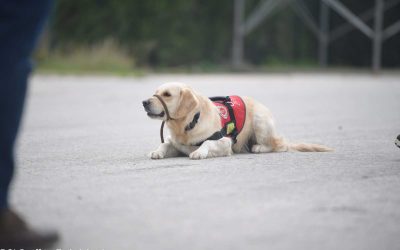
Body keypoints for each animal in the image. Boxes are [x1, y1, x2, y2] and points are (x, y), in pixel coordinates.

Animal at [142, 82, 332, 160]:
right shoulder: (175, 142)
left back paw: (258, 147)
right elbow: (165, 143)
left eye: (167, 94)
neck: (189, 123)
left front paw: (198, 152)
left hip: (260, 122)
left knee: (280, 145)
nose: (144, 102)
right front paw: (157, 152)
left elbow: (207, 143)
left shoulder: (224, 142)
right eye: (155, 92)